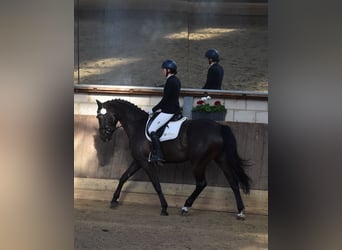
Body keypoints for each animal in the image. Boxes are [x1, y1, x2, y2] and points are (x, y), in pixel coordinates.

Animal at [96, 98, 251, 220]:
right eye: (98, 118)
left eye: (103, 117)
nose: (104, 137)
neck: (137, 125)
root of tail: (218, 127)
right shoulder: (139, 161)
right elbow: (124, 177)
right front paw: (114, 200)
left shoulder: (145, 163)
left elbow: (156, 184)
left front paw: (164, 208)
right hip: (221, 159)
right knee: (233, 182)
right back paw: (240, 212)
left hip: (198, 162)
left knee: (202, 183)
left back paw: (185, 207)